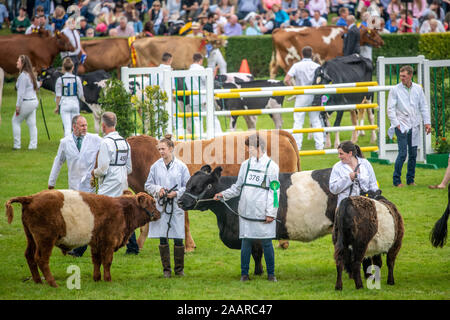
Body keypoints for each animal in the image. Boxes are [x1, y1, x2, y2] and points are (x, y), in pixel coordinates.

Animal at [4, 190, 160, 288]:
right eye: (153, 202)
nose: (159, 213)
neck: (122, 210)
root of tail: (31, 198)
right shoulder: (109, 242)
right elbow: (107, 262)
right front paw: (108, 279)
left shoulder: (96, 243)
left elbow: (97, 261)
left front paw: (97, 278)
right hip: (45, 239)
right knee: (41, 259)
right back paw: (53, 283)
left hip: (31, 238)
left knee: (29, 256)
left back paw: (38, 281)